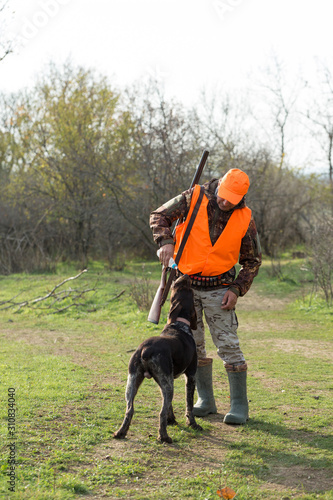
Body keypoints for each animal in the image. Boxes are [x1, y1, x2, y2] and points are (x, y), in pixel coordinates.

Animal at [114, 276, 201, 444]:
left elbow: (169, 406)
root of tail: (145, 349)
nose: (184, 276)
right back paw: (164, 436)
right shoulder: (191, 375)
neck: (179, 324)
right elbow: (189, 405)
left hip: (133, 380)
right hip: (167, 384)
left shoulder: (167, 379)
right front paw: (192, 424)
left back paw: (121, 432)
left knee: (129, 409)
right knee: (160, 412)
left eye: (179, 287)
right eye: (189, 290)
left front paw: (171, 420)